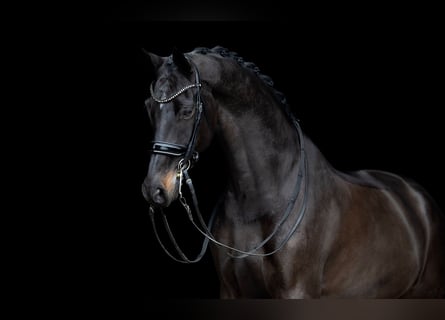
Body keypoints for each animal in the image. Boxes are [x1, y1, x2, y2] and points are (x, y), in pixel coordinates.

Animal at [141, 45, 444, 298]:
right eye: (149, 108)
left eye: (186, 110)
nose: (155, 189)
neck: (260, 200)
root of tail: (419, 198)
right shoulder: (231, 290)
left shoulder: (296, 292)